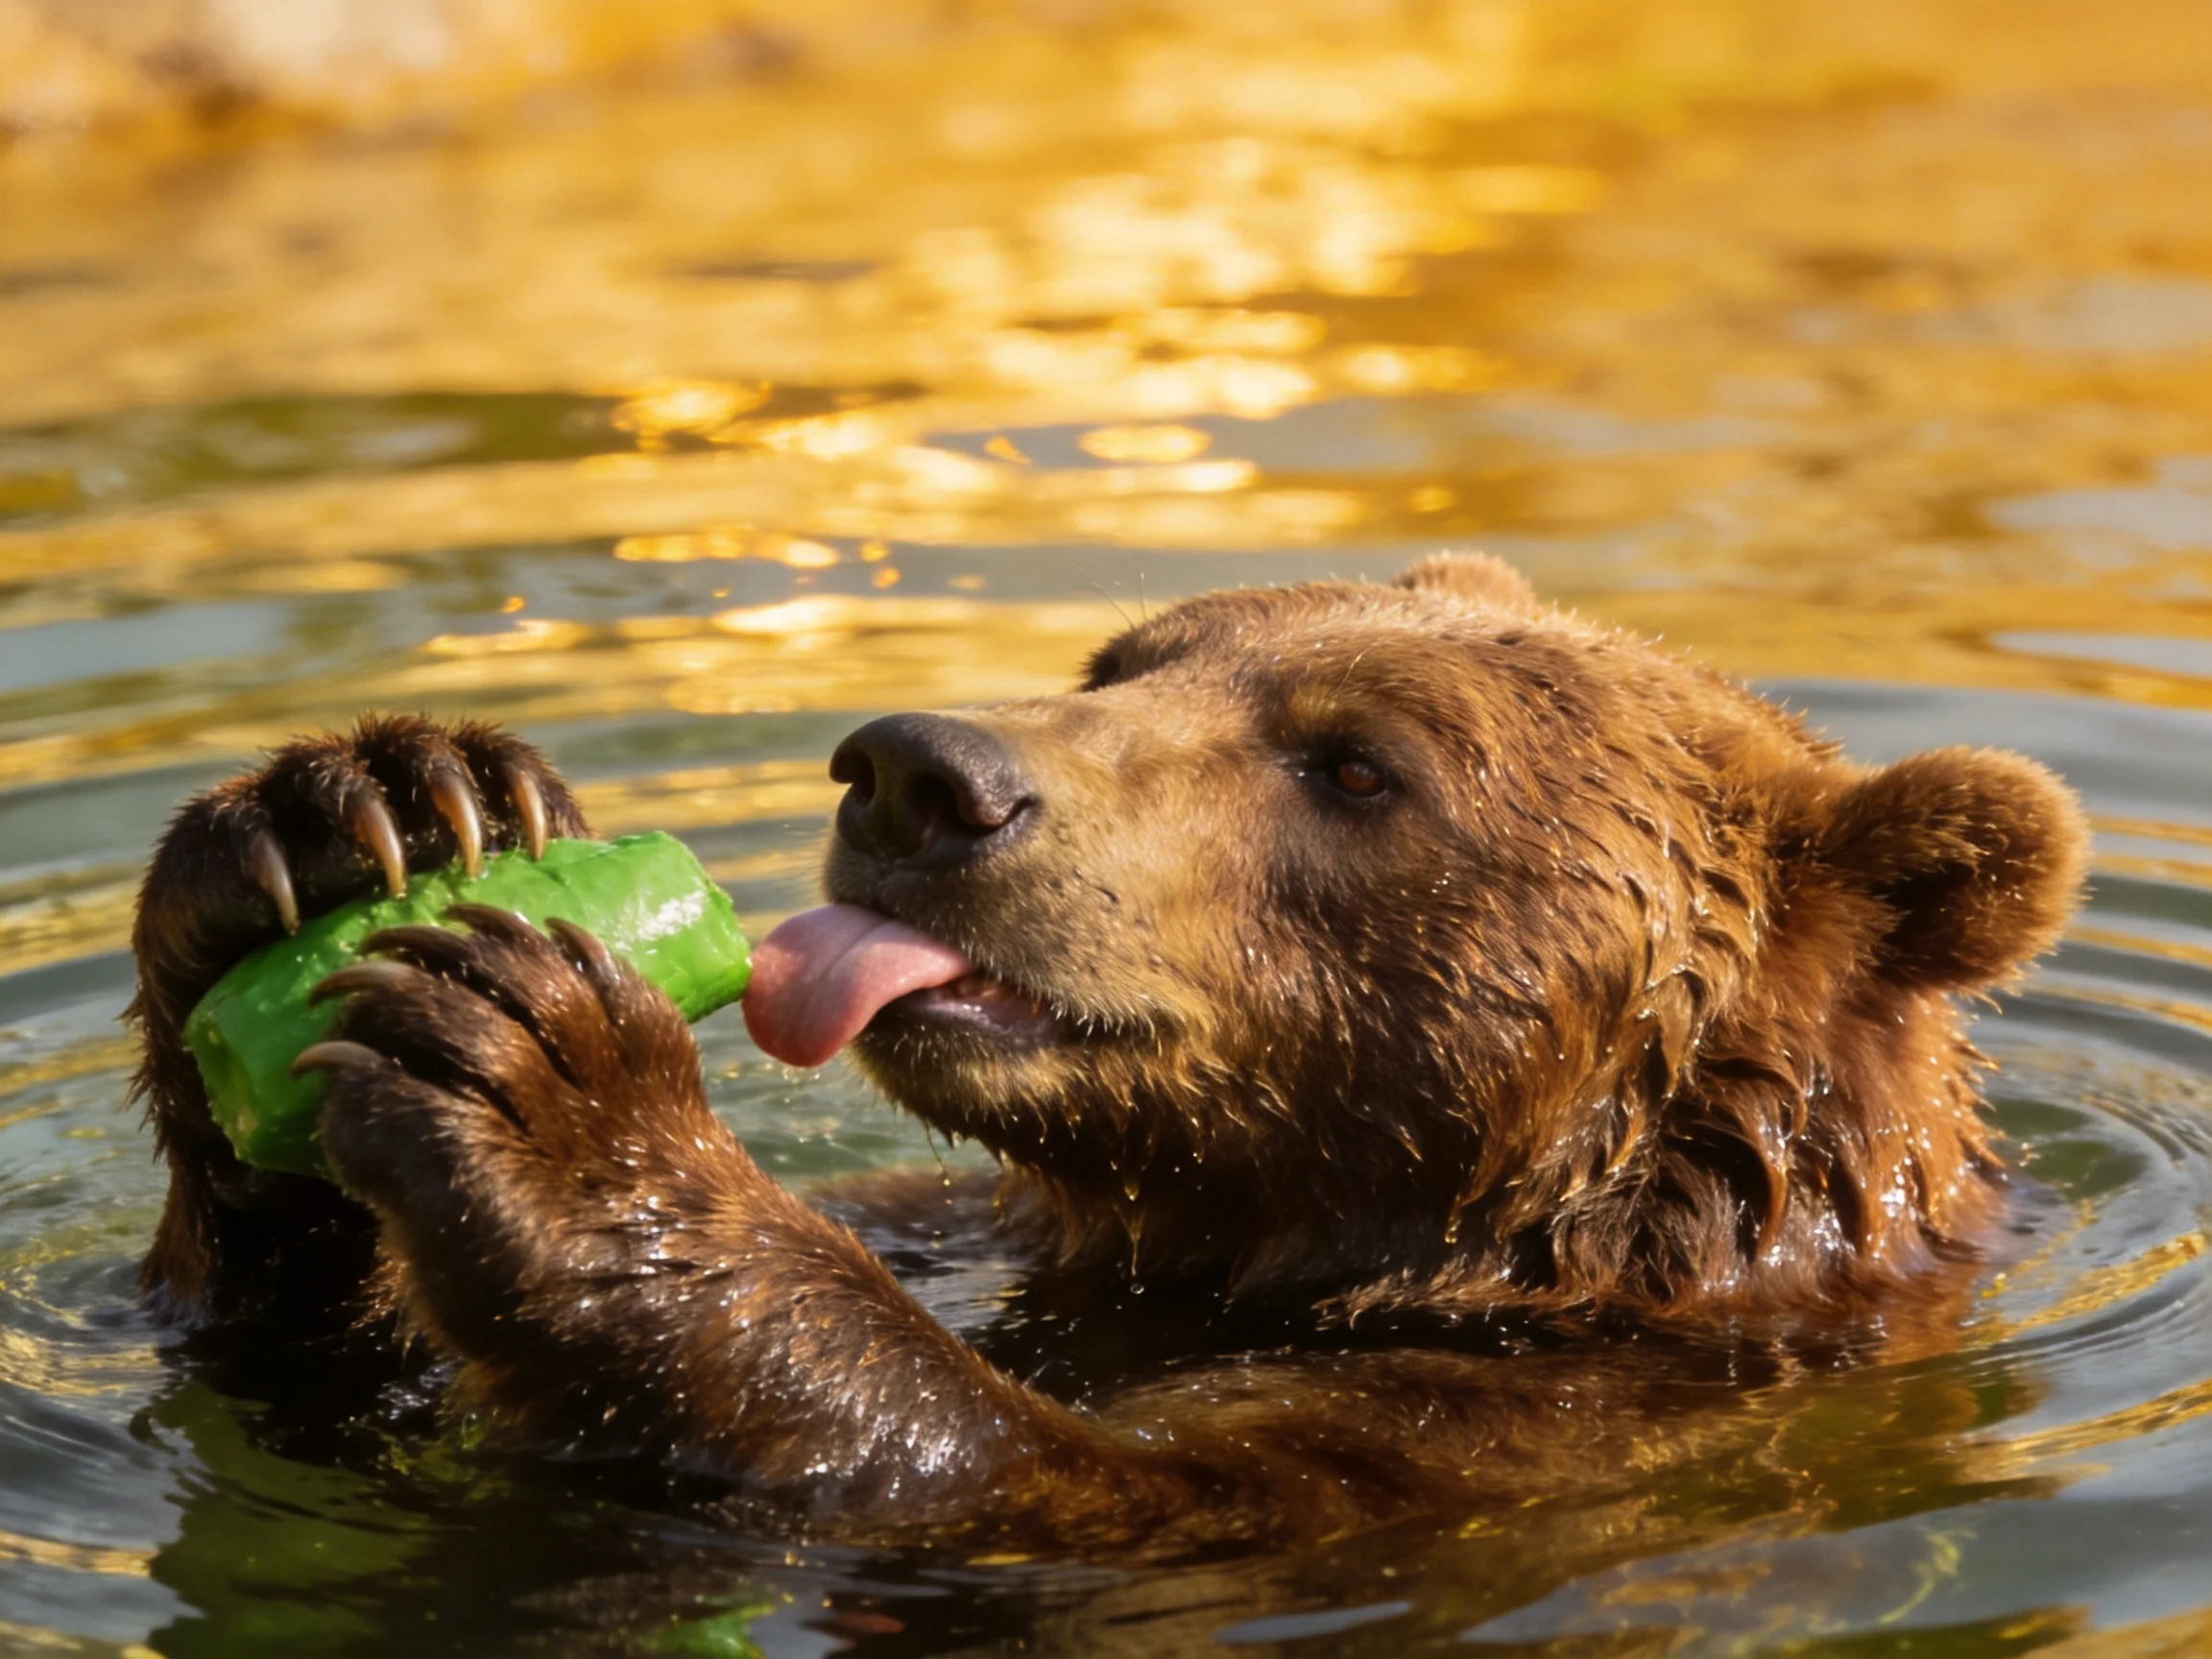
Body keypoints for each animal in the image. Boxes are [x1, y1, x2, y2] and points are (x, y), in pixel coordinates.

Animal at [126, 551, 2089, 1552]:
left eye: (1356, 761)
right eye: (1125, 658)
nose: (921, 773)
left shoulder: (1525, 1416)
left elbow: (1040, 1477)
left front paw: (557, 1089)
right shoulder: (1002, 1228)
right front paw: (364, 812)